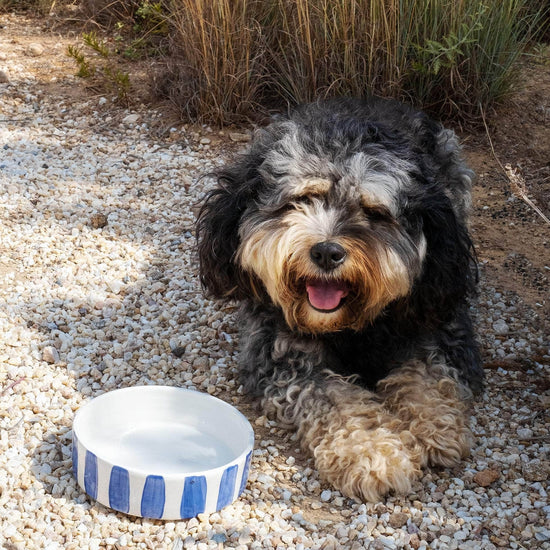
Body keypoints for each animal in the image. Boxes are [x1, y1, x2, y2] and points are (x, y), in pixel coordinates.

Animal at [197, 98, 484, 504]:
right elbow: (337, 399)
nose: (327, 252)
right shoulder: (280, 355)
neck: (351, 325)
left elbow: (429, 374)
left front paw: (435, 427)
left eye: (375, 212)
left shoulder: (440, 324)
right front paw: (372, 453)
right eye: (301, 200)